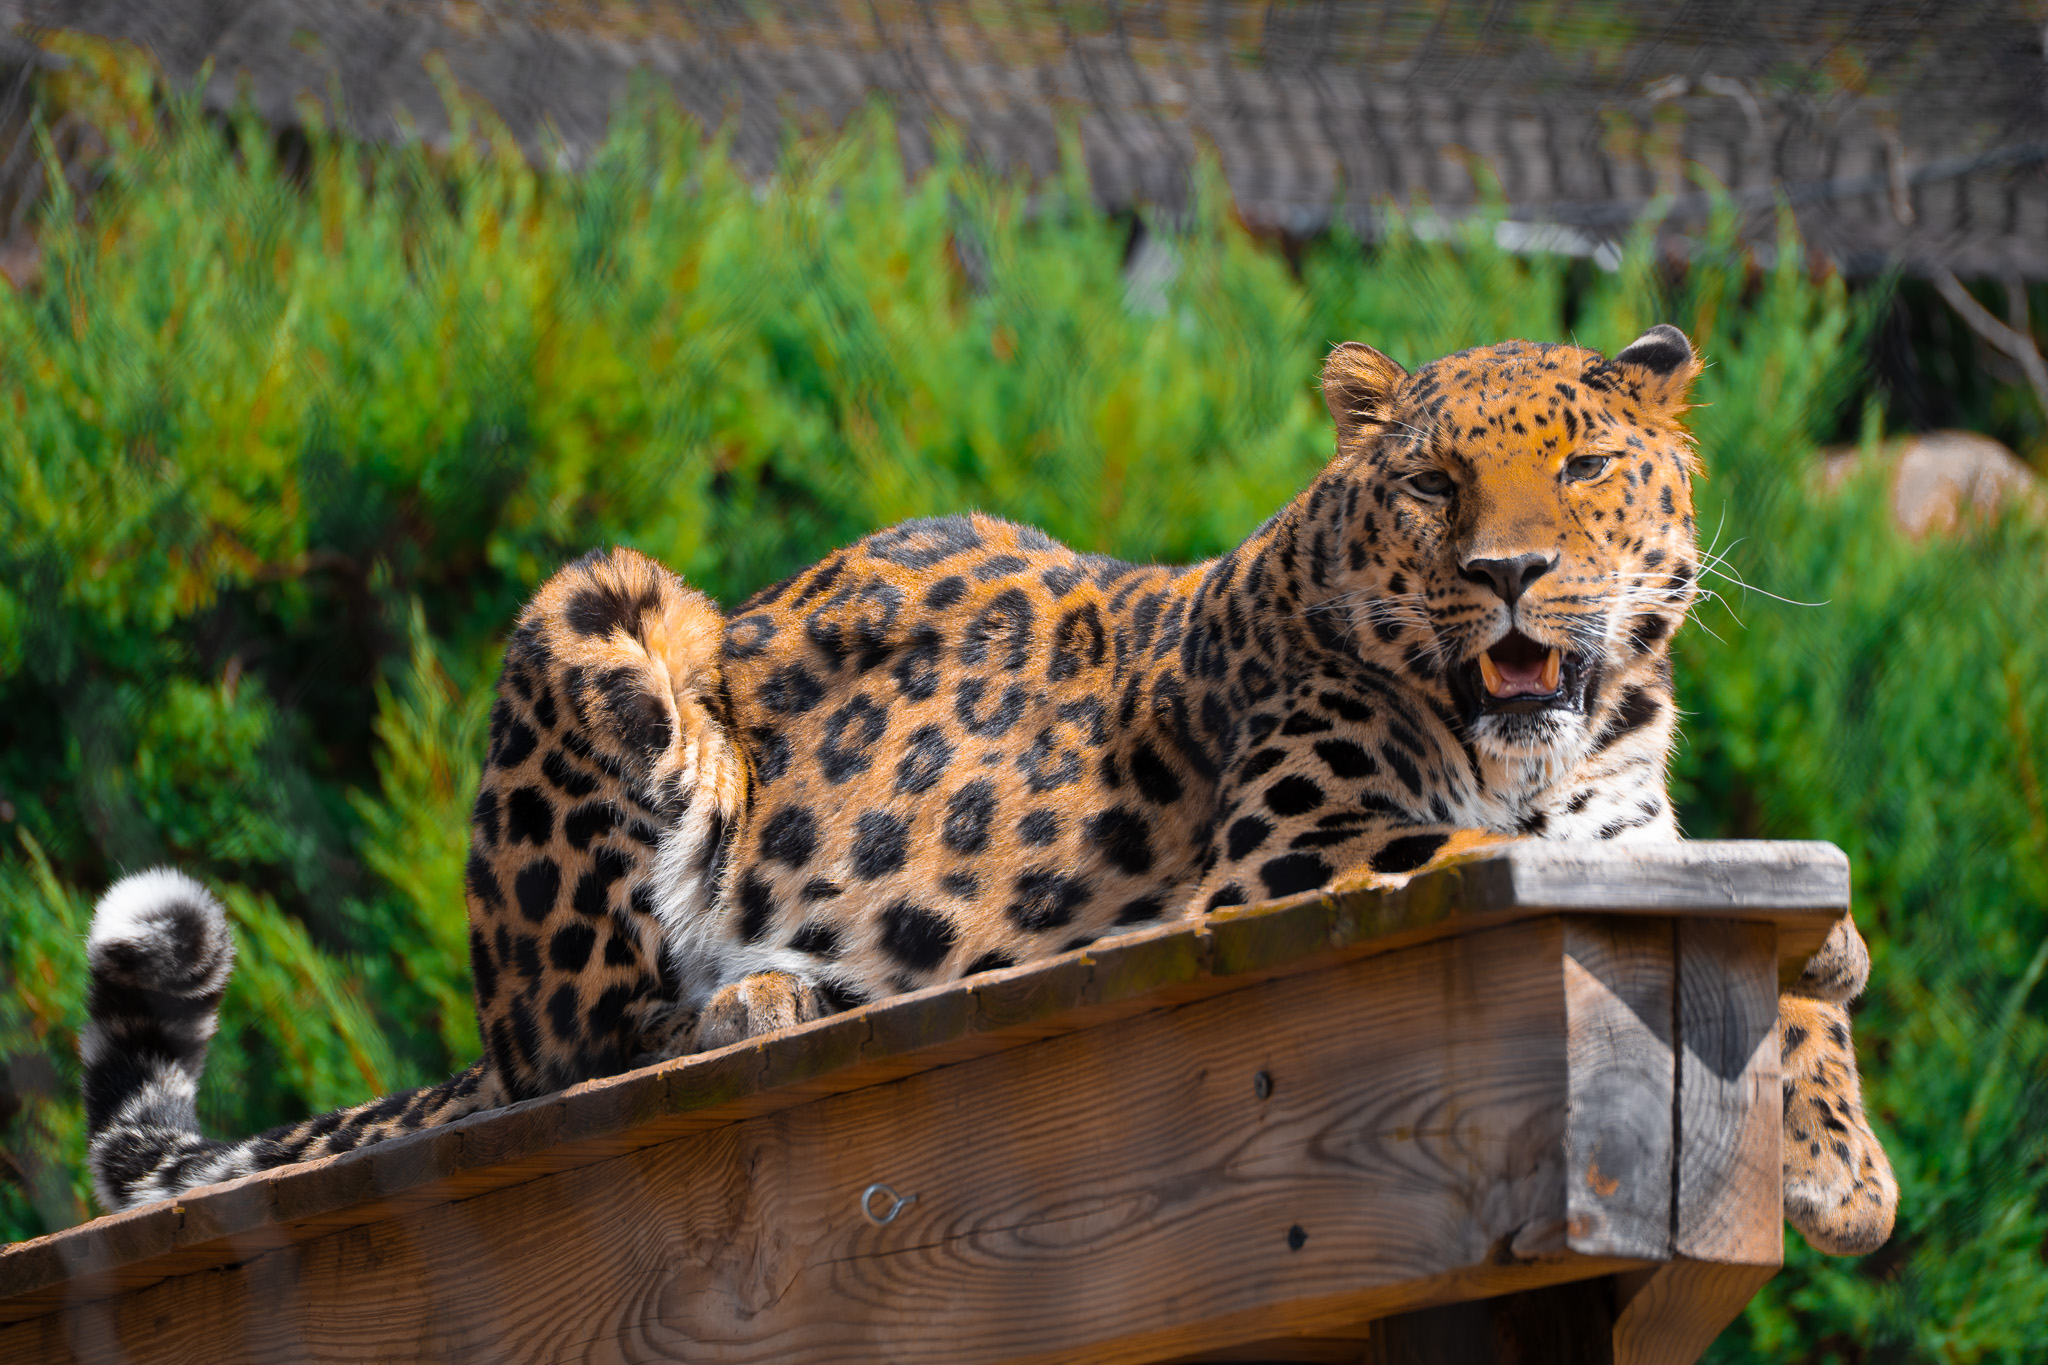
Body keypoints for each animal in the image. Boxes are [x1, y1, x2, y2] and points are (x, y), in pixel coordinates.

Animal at [80, 326, 1895, 1256]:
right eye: (1433, 483)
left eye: (1581, 467)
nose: (1509, 575)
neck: (1551, 750)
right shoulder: (1288, 850)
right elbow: (1452, 838)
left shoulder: (1633, 835)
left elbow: (1783, 968)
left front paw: (1838, 1156)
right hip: (612, 616)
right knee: (565, 1054)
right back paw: (757, 999)